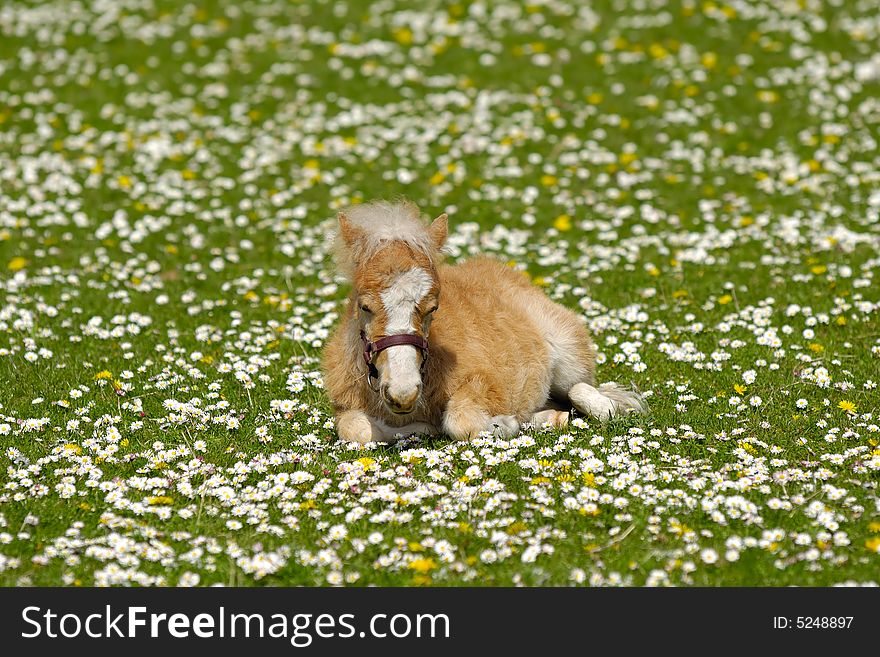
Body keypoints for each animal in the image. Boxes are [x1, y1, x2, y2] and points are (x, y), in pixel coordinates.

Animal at [324, 201, 648, 446]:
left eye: (433, 308)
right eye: (364, 306)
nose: (403, 394)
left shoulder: (485, 381)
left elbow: (460, 421)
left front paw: (502, 424)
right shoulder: (345, 404)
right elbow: (356, 430)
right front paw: (420, 429)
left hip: (569, 354)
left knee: (582, 391)